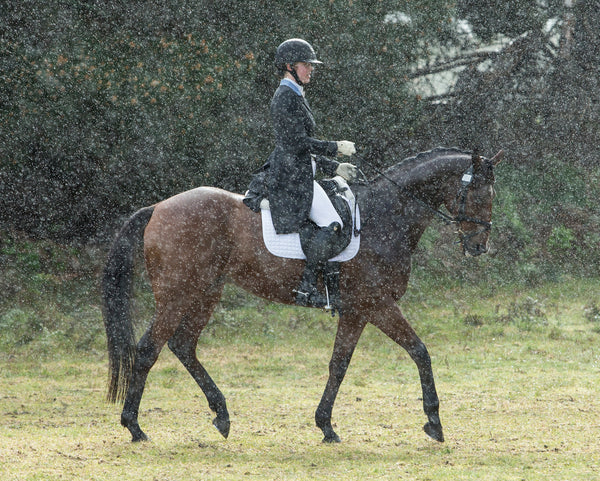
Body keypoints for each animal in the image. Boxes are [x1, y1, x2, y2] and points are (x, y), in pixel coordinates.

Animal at [102, 145, 502, 442]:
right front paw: (434, 422)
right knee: (147, 349)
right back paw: (134, 426)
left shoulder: (357, 311)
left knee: (183, 345)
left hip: (206, 293)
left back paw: (222, 416)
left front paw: (325, 425)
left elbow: (339, 364)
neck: (385, 217)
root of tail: (158, 208)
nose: (479, 246)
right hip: (177, 295)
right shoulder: (378, 305)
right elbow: (420, 351)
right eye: (476, 193)